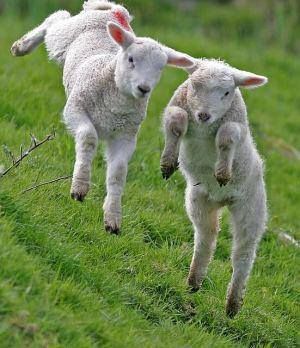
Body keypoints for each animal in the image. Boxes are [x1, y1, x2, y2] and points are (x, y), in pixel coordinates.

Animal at [11, 0, 195, 234]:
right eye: (131, 59)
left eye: (160, 69)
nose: (144, 89)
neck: (115, 103)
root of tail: (116, 12)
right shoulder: (76, 108)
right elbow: (89, 138)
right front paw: (80, 187)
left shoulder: (126, 134)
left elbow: (118, 172)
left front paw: (113, 218)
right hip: (64, 37)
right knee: (56, 19)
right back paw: (21, 46)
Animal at [161, 59, 268, 318]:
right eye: (193, 85)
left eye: (227, 93)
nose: (203, 114)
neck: (203, 128)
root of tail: (222, 199)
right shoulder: (176, 107)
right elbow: (176, 119)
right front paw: (168, 162)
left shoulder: (236, 125)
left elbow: (227, 136)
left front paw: (222, 172)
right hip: (198, 200)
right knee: (207, 237)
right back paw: (194, 281)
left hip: (251, 208)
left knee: (243, 255)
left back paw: (232, 304)